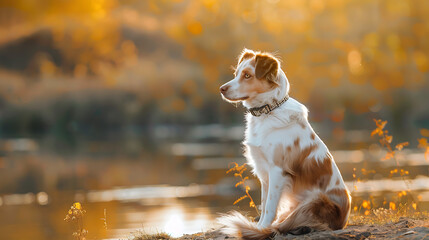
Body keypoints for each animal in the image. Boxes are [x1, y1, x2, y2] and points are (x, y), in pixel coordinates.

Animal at [219, 48, 350, 238]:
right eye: (237, 74)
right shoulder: (264, 171)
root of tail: (343, 221)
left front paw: (261, 229)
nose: (221, 89)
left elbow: (269, 207)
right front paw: (259, 227)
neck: (267, 111)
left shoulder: (277, 171)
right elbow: (264, 203)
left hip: (317, 199)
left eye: (247, 75)